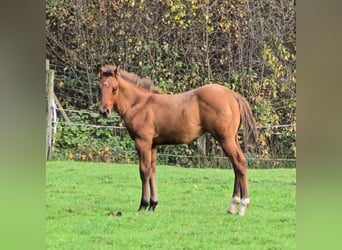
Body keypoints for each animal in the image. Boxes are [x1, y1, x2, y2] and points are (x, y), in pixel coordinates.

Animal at [97, 65, 256, 216]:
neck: (139, 104)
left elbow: (144, 171)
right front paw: (153, 204)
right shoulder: (153, 145)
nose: (104, 111)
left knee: (239, 163)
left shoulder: (143, 142)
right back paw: (233, 206)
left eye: (114, 88)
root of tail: (233, 95)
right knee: (236, 165)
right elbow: (153, 170)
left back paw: (242, 206)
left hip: (225, 139)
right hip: (232, 138)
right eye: (99, 87)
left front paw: (143, 204)